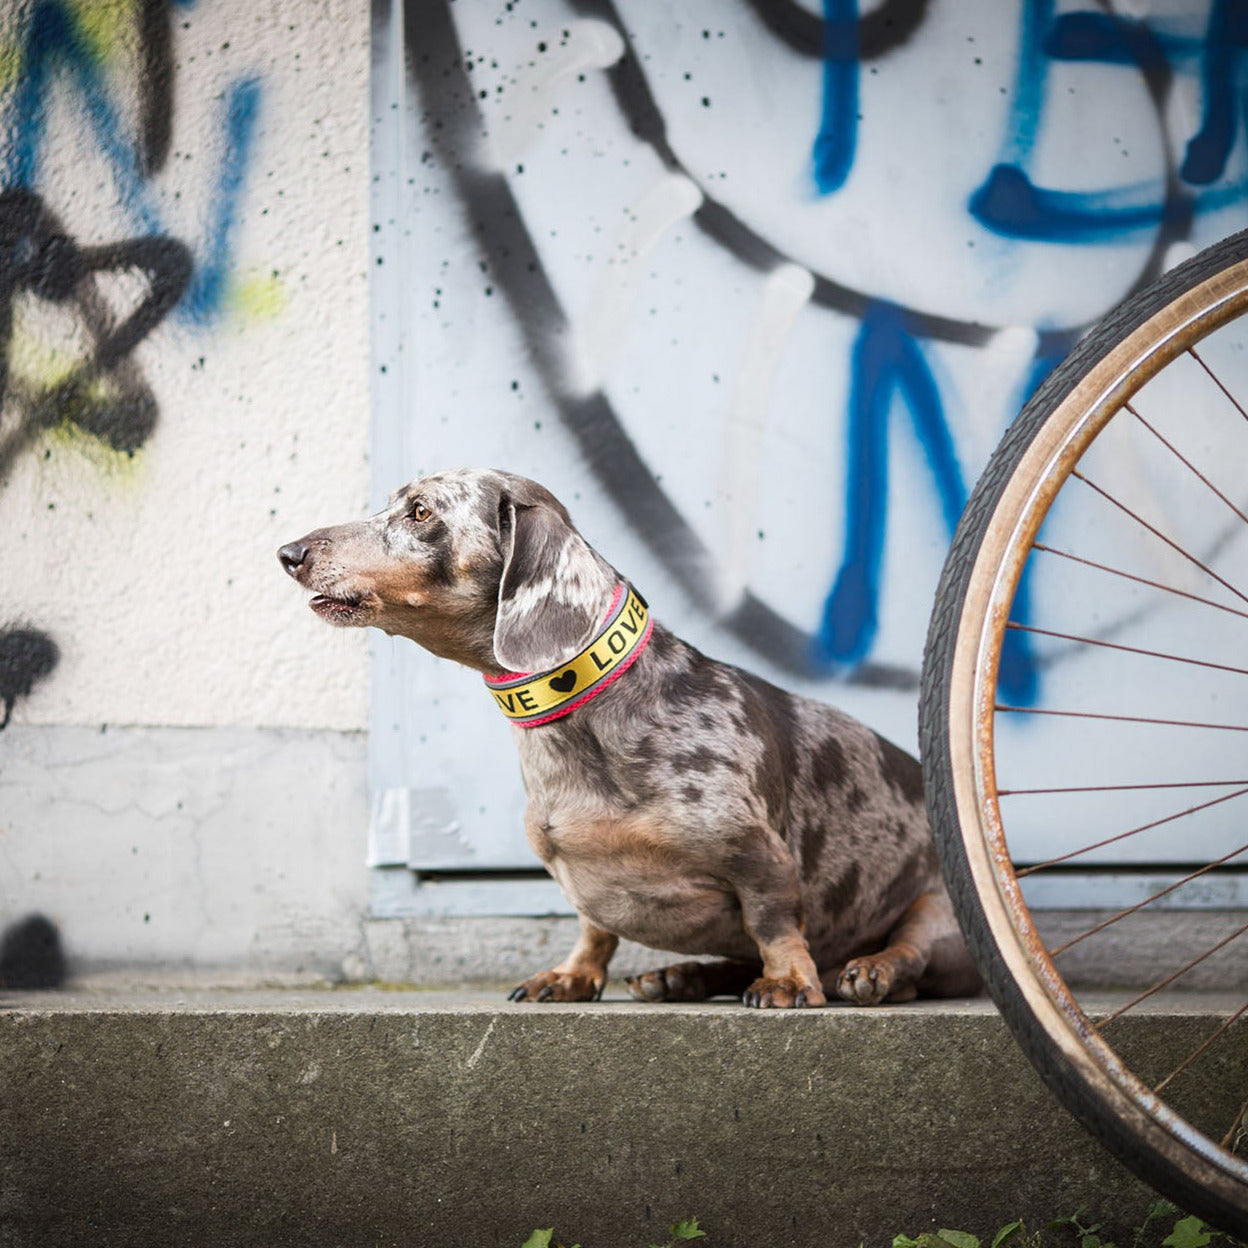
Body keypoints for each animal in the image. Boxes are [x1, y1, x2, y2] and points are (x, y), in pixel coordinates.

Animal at [278, 469, 978, 1003]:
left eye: (420, 511)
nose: (288, 553)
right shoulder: (582, 887)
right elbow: (594, 931)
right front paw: (571, 976)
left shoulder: (761, 857)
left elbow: (773, 922)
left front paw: (786, 982)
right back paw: (681, 976)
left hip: (937, 910)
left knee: (911, 956)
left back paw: (870, 970)